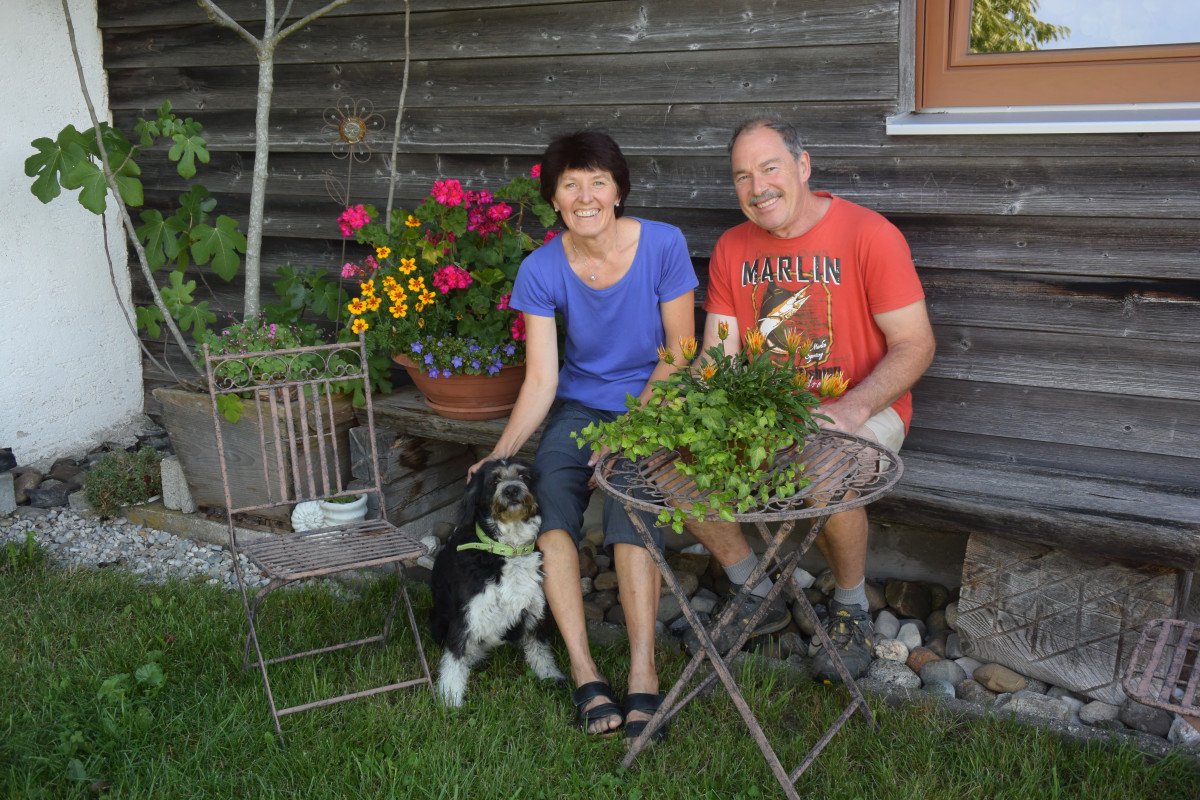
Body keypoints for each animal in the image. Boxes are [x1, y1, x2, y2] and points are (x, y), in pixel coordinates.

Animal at [429, 455, 564, 705]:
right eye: (494, 481)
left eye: (523, 476)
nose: (511, 490)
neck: (509, 550)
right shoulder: (466, 615)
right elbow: (454, 661)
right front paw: (450, 699)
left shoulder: (533, 610)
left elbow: (540, 650)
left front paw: (550, 676)